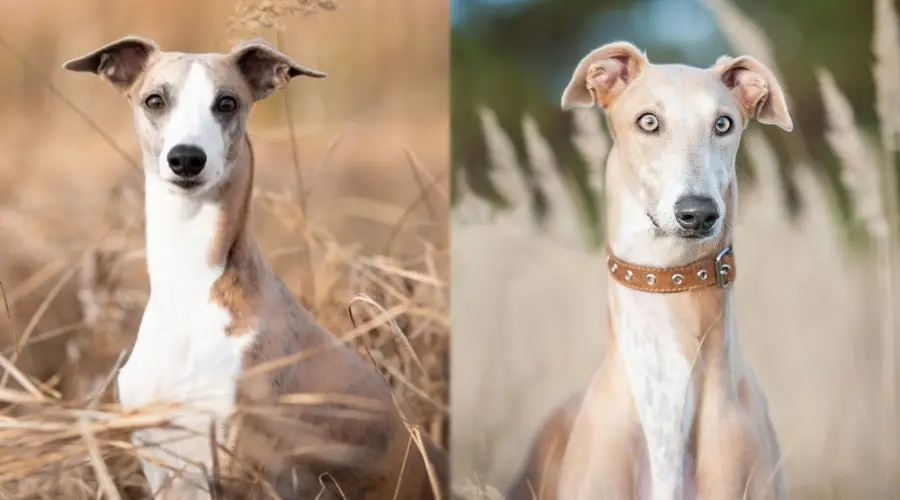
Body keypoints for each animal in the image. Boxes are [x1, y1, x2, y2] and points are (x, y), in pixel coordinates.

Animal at [61, 36, 444, 500]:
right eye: (154, 100)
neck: (191, 291)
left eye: (226, 102)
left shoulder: (243, 468)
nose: (186, 159)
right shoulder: (162, 464)